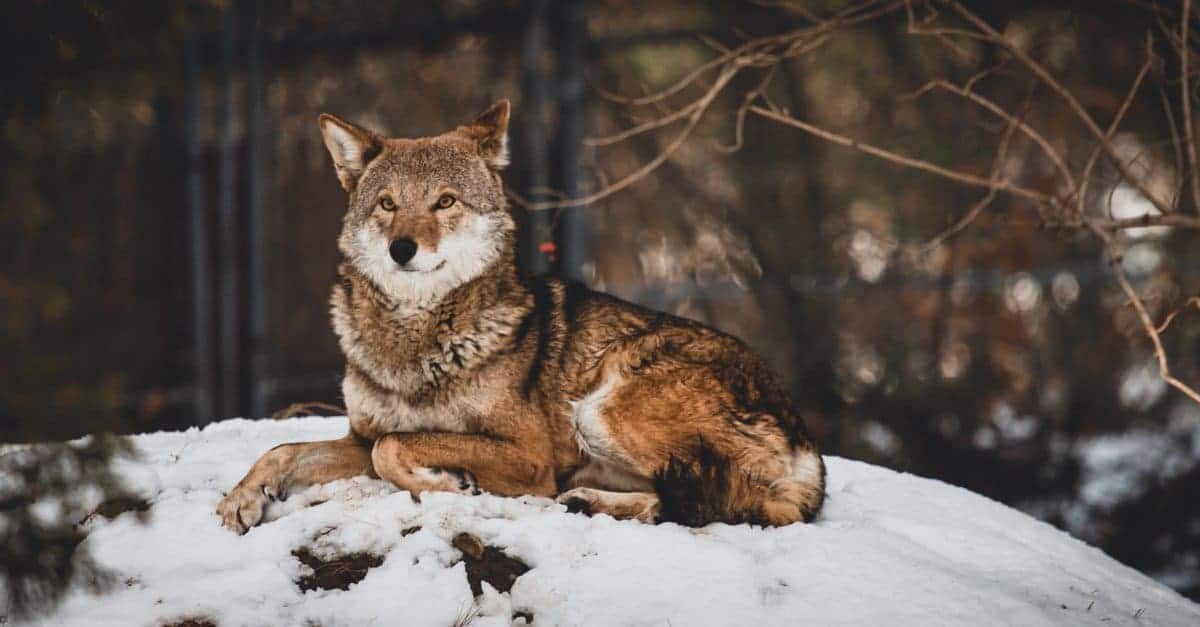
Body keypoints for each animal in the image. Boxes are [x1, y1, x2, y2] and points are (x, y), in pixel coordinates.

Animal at [216, 100, 825, 533]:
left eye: (445, 201)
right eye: (387, 204)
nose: (402, 249)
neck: (414, 339)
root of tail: (808, 446)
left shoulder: (528, 458)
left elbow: (397, 447)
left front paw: (446, 487)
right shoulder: (358, 436)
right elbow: (284, 449)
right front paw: (241, 497)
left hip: (601, 407)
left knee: (726, 503)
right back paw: (593, 502)